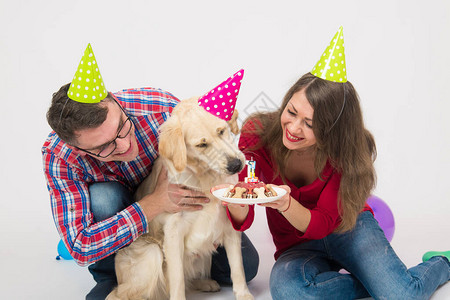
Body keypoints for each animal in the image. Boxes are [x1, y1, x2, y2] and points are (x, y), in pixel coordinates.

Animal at [105, 98, 253, 300]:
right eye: (202, 145)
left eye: (222, 131)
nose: (235, 165)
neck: (206, 178)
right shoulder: (173, 232)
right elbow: (177, 279)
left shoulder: (229, 224)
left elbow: (238, 267)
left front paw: (244, 294)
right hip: (151, 254)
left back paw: (206, 283)